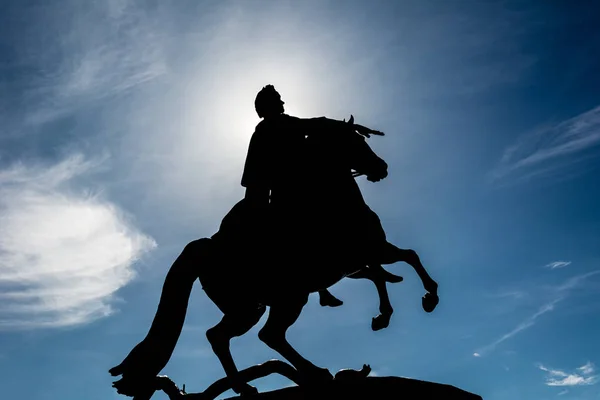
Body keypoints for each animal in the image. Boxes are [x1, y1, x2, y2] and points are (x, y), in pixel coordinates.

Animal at [109, 119, 436, 400]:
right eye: (354, 142)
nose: (381, 167)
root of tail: (207, 250)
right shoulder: (371, 250)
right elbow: (407, 258)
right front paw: (424, 299)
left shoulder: (356, 263)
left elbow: (384, 271)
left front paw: (385, 310)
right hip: (277, 301)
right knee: (260, 335)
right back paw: (305, 374)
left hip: (253, 306)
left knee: (227, 336)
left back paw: (254, 385)